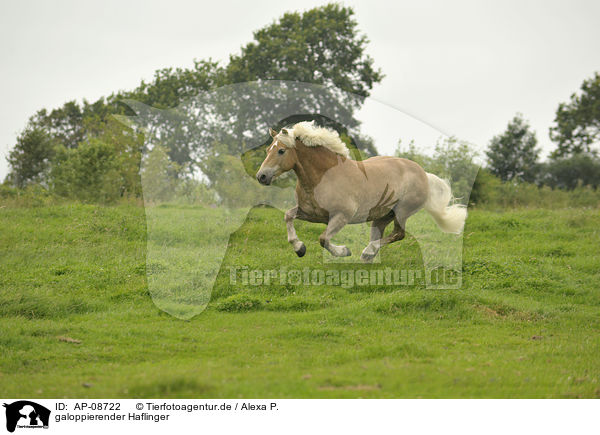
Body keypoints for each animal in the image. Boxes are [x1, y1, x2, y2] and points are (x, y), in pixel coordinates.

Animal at [255, 122, 466, 262]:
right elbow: (288, 216)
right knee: (381, 235)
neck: (323, 177)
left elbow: (323, 239)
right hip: (382, 216)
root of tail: (423, 174)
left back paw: (367, 252)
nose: (261, 176)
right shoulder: (311, 213)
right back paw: (368, 256)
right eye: (268, 150)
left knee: (398, 234)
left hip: (402, 212)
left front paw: (343, 251)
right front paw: (300, 248)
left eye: (281, 151)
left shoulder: (342, 216)